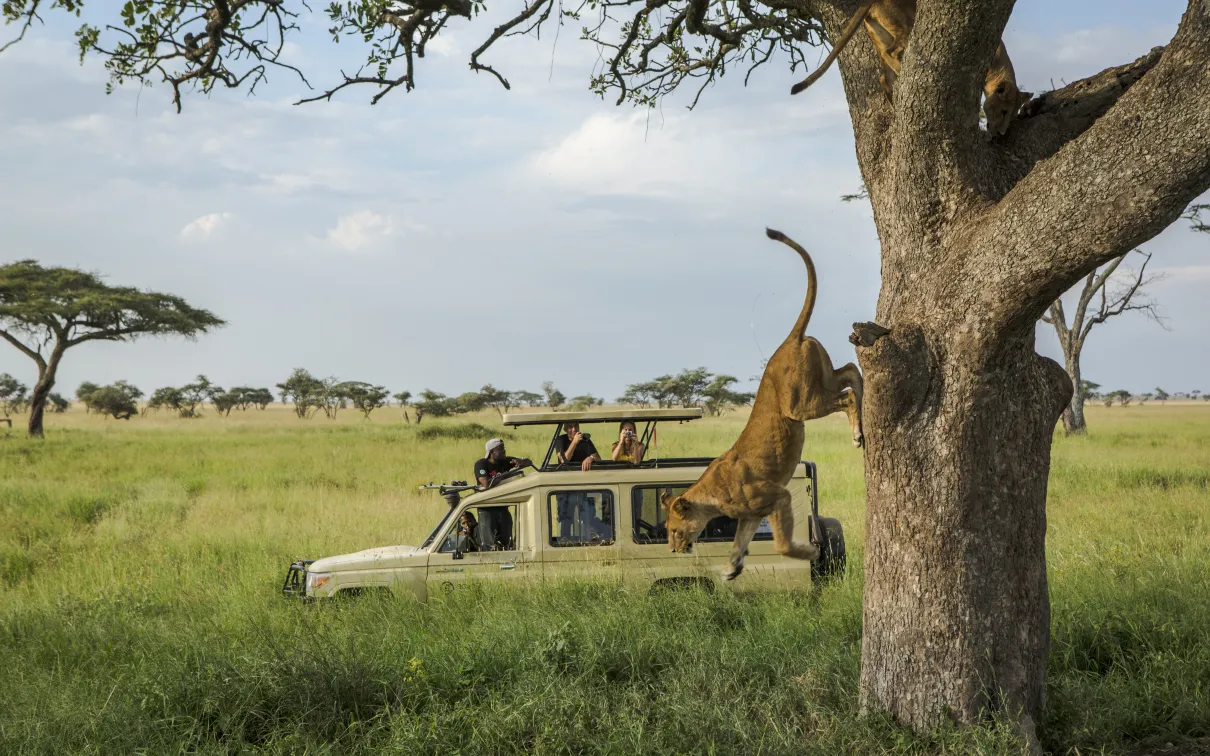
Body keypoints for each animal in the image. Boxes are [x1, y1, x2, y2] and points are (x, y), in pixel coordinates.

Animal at [663, 227, 861, 580]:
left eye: (673, 529)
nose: (673, 549)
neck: (710, 496)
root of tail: (789, 340)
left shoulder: (777, 495)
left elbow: (782, 544)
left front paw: (811, 551)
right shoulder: (751, 515)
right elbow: (739, 542)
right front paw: (731, 569)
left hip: (800, 405)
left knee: (847, 395)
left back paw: (857, 435)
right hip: (821, 376)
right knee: (851, 371)